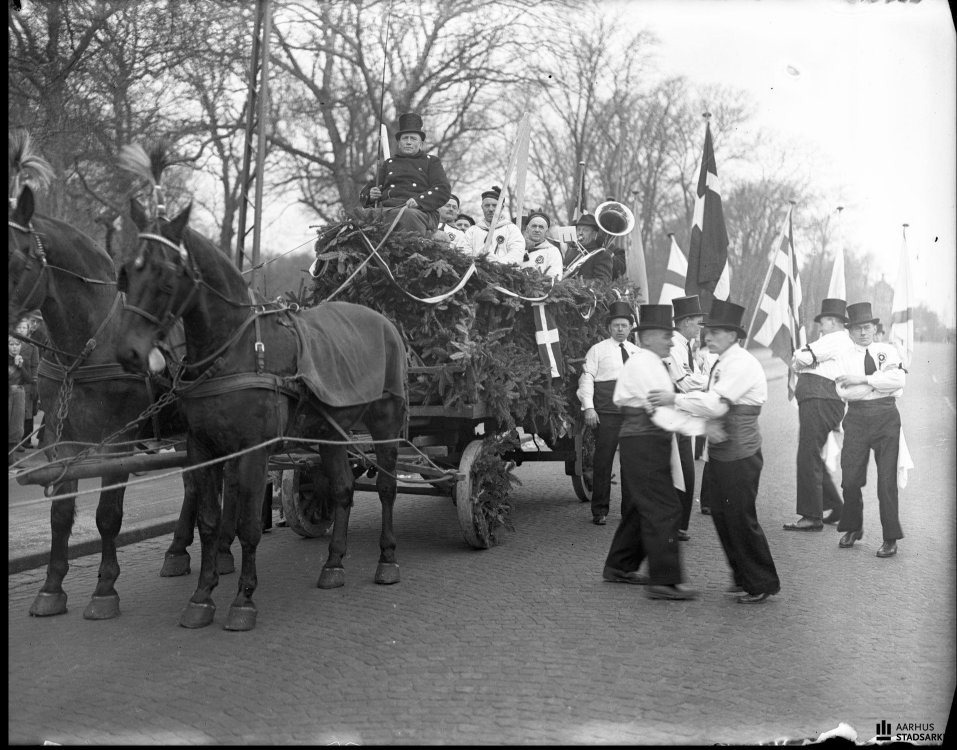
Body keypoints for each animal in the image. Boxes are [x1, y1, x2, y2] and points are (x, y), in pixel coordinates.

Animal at [115, 197, 408, 632]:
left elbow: (249, 524)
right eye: (126, 272)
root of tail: (383, 321)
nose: (128, 352)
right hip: (331, 432)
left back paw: (387, 559)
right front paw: (202, 596)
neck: (232, 350)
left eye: (166, 274)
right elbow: (209, 521)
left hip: (386, 421)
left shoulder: (253, 450)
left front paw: (243, 600)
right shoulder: (203, 449)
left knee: (387, 487)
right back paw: (334, 563)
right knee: (342, 489)